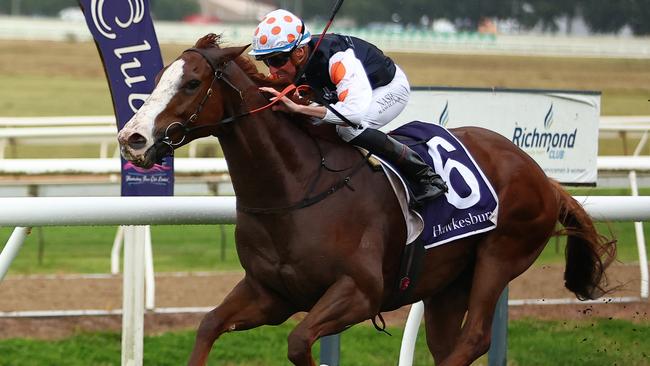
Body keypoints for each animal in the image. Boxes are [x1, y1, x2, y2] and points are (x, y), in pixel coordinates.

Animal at [115, 33, 612, 364]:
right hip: (447, 282)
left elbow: (299, 342)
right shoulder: (270, 293)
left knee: (475, 338)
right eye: (158, 77)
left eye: (192, 83)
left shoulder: (360, 292)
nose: (132, 139)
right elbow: (208, 325)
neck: (297, 187)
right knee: (448, 343)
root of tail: (540, 174)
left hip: (501, 254)